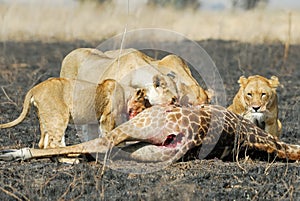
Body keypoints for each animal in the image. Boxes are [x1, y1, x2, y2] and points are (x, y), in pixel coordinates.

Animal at [0, 75, 175, 149]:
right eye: (144, 105)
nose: (146, 113)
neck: (126, 92)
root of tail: (35, 88)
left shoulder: (94, 120)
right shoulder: (107, 118)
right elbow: (108, 134)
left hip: (45, 118)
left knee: (43, 142)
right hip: (59, 115)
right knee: (52, 143)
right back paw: (69, 160)